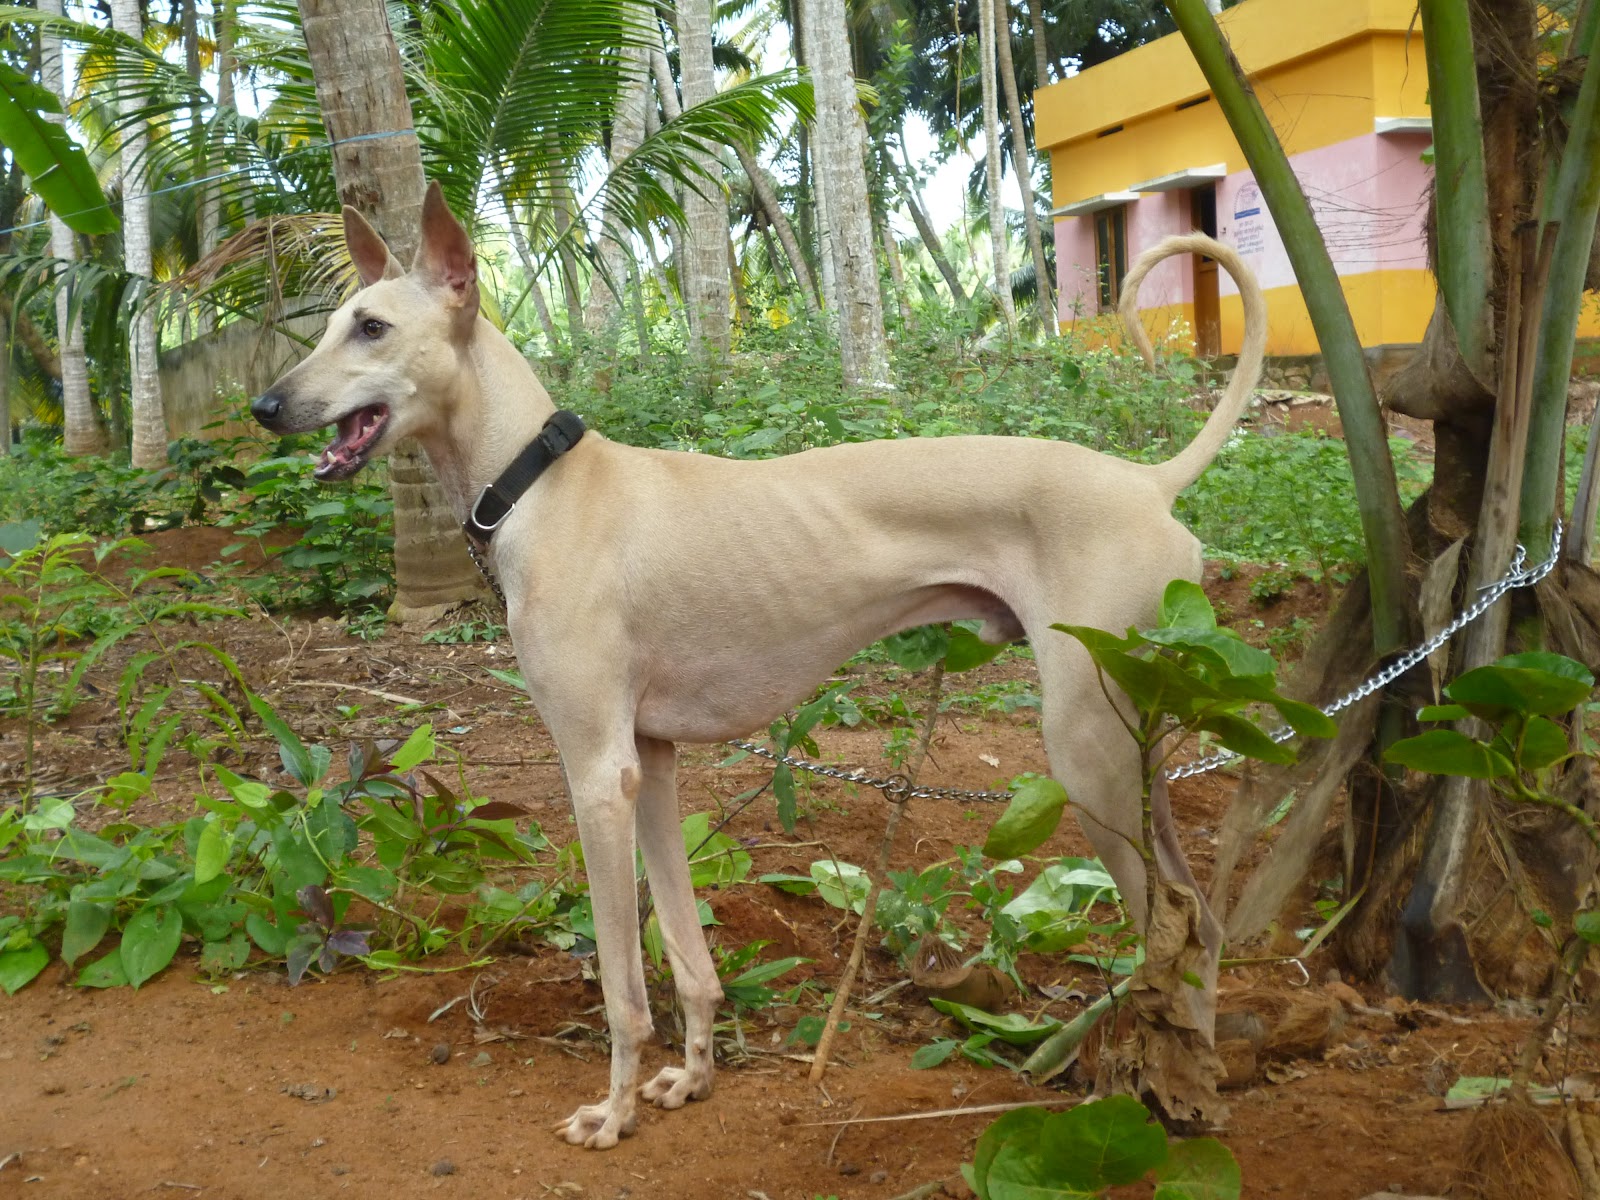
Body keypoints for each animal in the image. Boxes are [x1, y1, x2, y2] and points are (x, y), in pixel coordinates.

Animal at [256, 183, 1267, 1152]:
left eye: (371, 326)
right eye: (334, 322)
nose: (265, 407)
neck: (538, 482)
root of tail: (1147, 481)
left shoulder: (597, 777)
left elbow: (623, 989)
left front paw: (612, 1113)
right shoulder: (651, 764)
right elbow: (688, 954)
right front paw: (692, 1077)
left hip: (1089, 756)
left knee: (1172, 922)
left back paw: (1167, 1091)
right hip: (1134, 744)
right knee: (1202, 924)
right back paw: (1195, 1075)